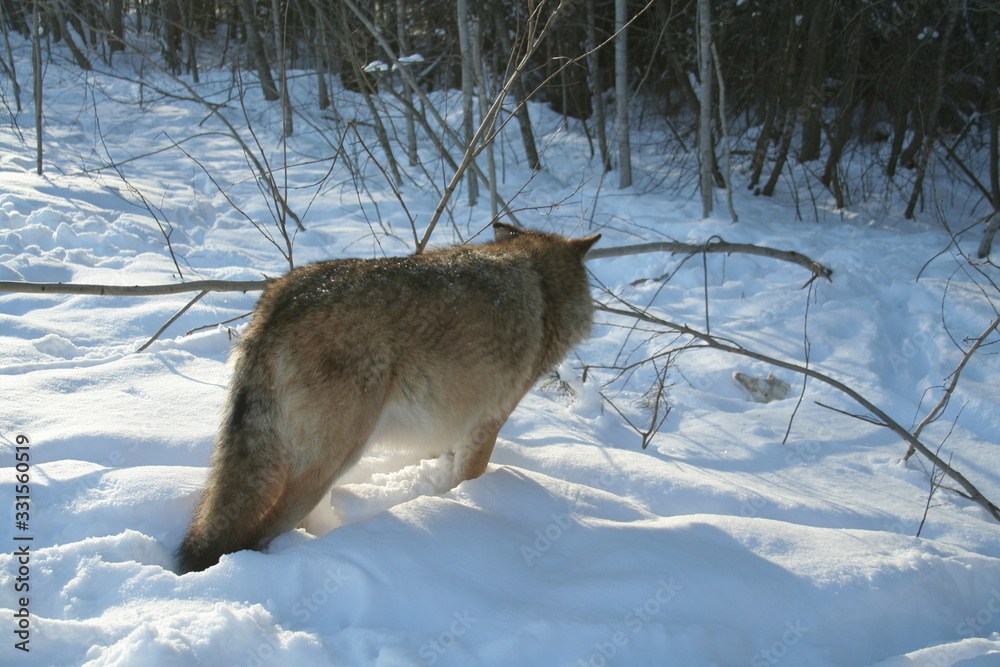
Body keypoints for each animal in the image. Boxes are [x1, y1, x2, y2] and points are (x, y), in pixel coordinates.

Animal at [177, 223, 600, 572]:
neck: (542, 288)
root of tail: (281, 299)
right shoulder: (486, 423)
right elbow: (467, 482)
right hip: (334, 458)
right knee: (265, 532)